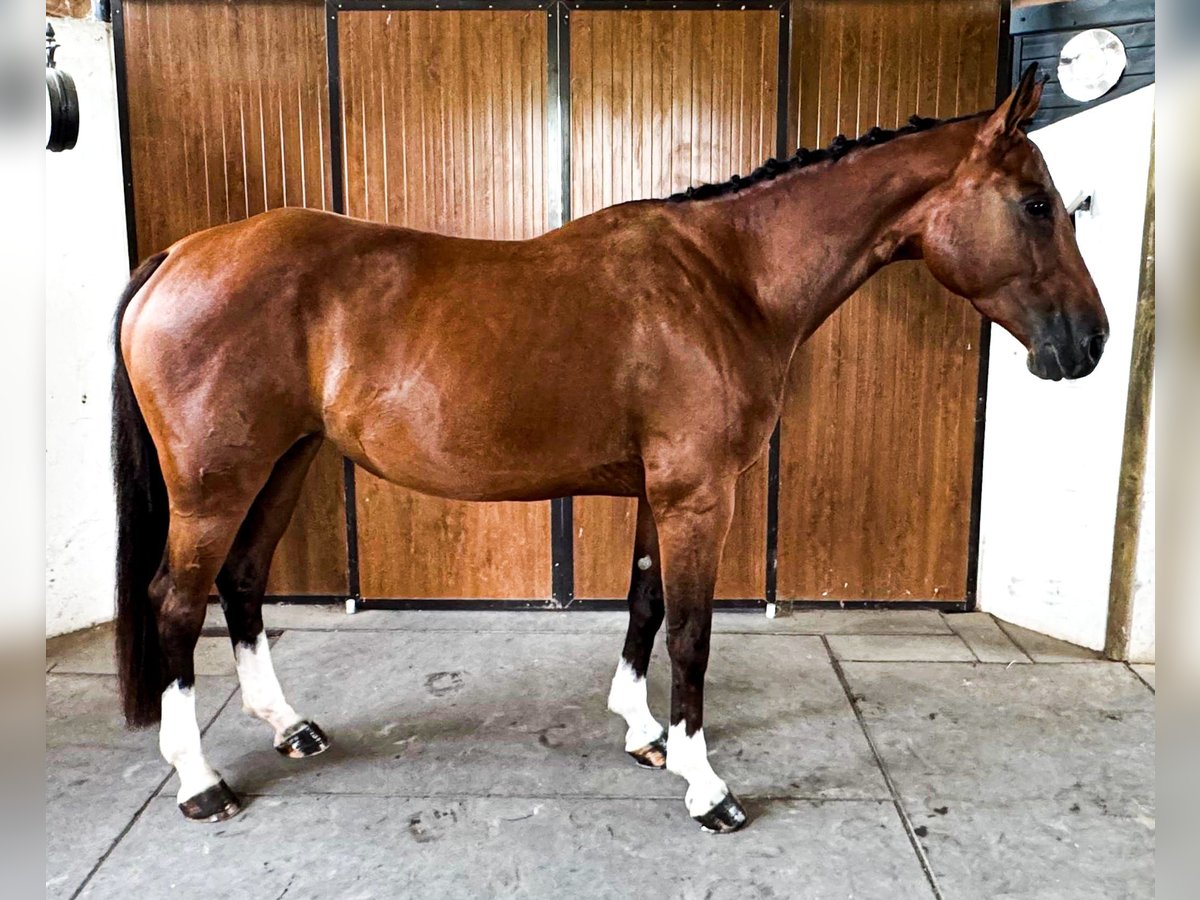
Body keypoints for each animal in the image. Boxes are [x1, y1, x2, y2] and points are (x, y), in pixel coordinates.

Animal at [112, 66, 1104, 835]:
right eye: (1036, 204)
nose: (1087, 344)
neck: (728, 280)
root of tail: (180, 255)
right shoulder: (700, 495)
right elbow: (693, 635)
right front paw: (707, 786)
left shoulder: (661, 494)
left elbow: (644, 602)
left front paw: (644, 734)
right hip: (216, 485)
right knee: (177, 602)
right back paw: (200, 782)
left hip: (284, 463)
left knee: (242, 583)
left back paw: (289, 727)